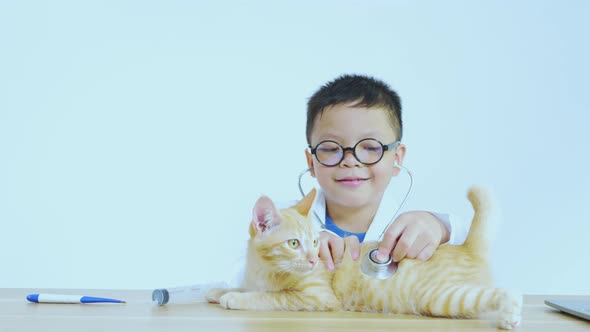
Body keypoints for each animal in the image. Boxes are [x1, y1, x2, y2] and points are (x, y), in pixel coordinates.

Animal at [207, 187, 524, 330]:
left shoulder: (316, 297)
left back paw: (510, 315)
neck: (264, 268)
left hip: (440, 296)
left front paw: (235, 298)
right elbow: (245, 286)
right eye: (294, 243)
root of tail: (467, 247)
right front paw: (218, 290)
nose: (313, 261)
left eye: (314, 243)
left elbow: (271, 297)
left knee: (507, 291)